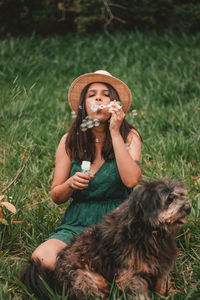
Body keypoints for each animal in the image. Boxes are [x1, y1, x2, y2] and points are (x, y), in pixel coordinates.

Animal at [19, 179, 191, 298]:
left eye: (181, 195)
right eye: (169, 199)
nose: (188, 208)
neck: (149, 231)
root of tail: (54, 279)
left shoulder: (162, 264)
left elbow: (162, 284)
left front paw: (167, 295)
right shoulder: (131, 274)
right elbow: (138, 293)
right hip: (86, 279)